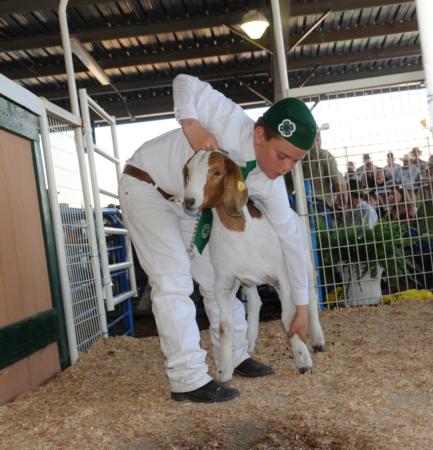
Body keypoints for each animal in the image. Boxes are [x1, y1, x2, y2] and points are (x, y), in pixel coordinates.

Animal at [181, 151, 324, 384]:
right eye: (188, 171)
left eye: (217, 172)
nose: (189, 201)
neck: (241, 232)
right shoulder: (224, 284)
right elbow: (225, 326)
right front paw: (224, 371)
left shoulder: (283, 277)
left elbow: (288, 317)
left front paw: (303, 360)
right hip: (247, 281)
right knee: (255, 302)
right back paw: (249, 341)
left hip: (302, 261)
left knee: (310, 295)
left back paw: (318, 340)